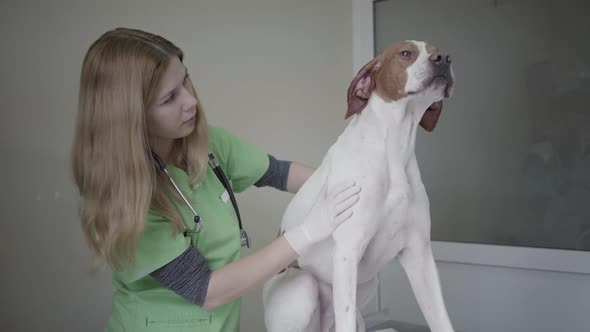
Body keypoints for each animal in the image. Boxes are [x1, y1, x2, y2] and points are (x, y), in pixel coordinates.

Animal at [264, 40, 458, 332]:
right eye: (405, 53)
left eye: (439, 50)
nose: (444, 59)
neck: (393, 149)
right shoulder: (348, 251)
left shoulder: (420, 255)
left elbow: (441, 320)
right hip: (303, 289)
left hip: (365, 284)